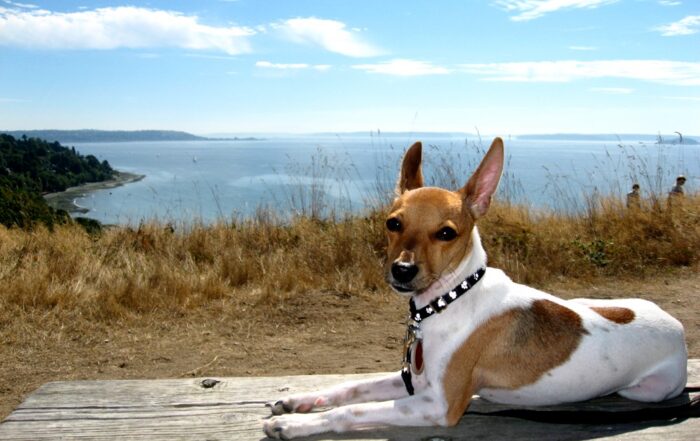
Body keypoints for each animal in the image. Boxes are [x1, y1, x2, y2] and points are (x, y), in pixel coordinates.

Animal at [263, 137, 688, 439]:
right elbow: (350, 388)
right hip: (590, 301)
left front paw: (295, 426)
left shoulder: (438, 404)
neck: (451, 298)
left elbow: (351, 410)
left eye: (446, 233)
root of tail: (677, 326)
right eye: (393, 223)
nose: (402, 271)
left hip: (648, 389)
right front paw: (300, 402)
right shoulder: (416, 381)